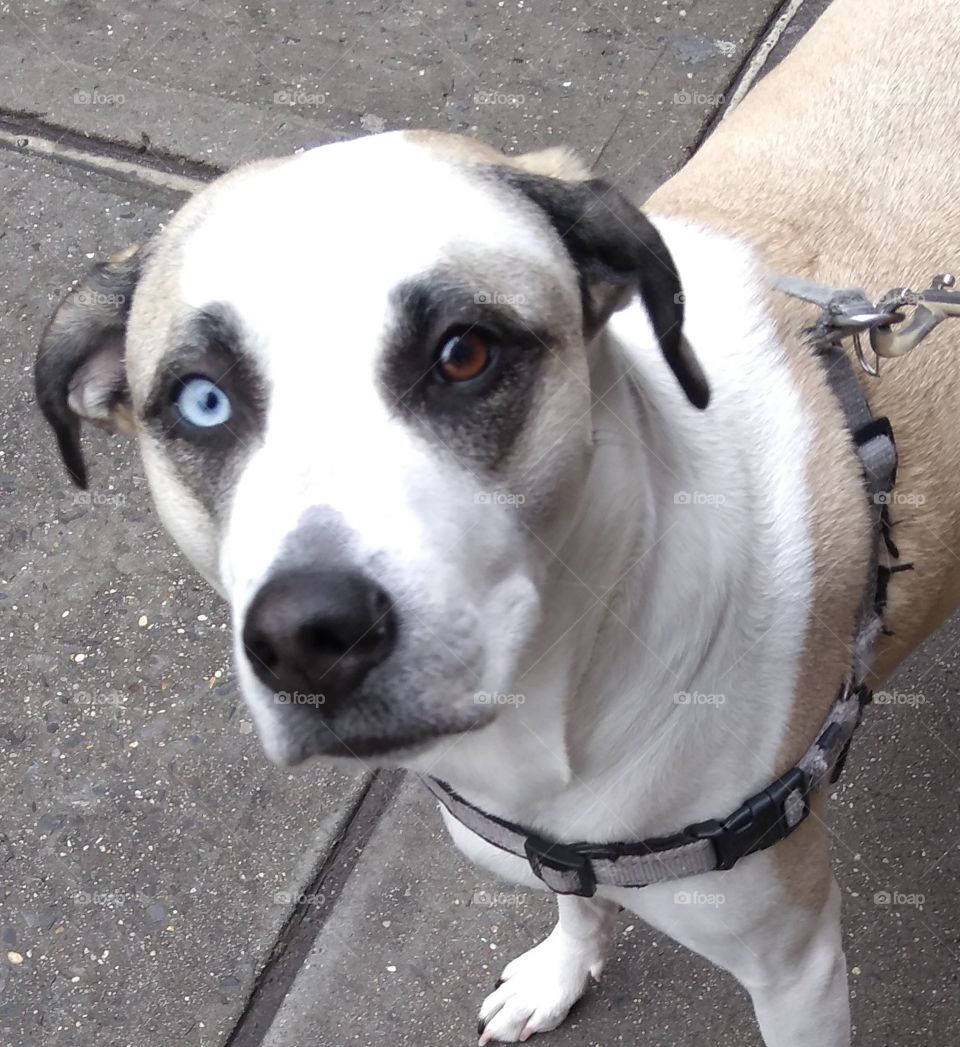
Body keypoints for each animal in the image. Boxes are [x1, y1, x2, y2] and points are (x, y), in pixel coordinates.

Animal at [31, 4, 958, 1042]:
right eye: (201, 400)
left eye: (464, 354)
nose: (310, 636)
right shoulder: (552, 851)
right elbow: (575, 900)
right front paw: (561, 968)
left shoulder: (797, 966)